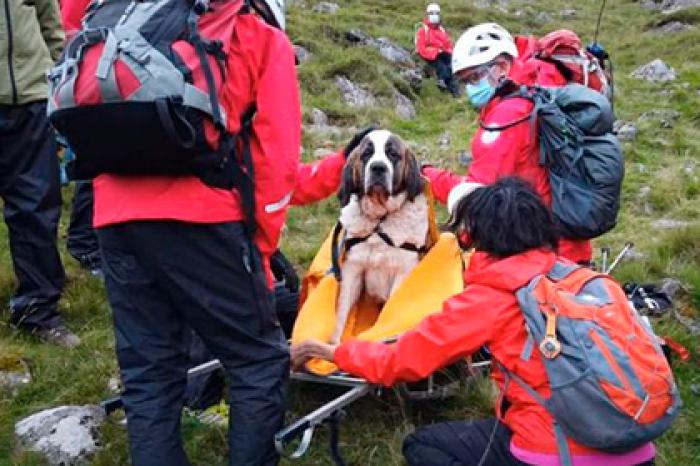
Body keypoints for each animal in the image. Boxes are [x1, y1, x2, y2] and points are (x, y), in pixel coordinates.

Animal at [330, 129, 430, 344]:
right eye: (367, 154)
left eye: (392, 154)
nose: (378, 167)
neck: (379, 221)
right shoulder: (352, 268)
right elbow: (342, 311)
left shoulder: (403, 271)